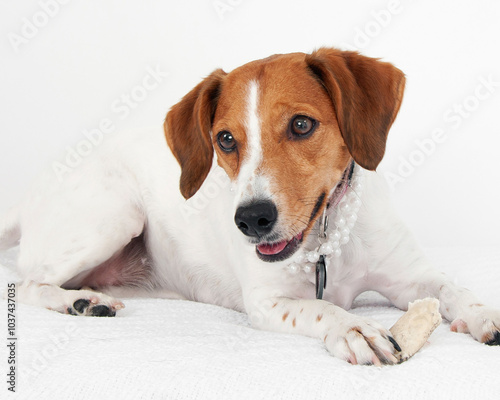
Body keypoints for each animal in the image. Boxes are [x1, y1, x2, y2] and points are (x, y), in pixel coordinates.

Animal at [0, 47, 498, 366]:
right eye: (225, 139)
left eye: (301, 125)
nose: (251, 220)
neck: (327, 242)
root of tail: (29, 195)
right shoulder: (266, 302)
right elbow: (322, 309)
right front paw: (353, 328)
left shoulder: (412, 276)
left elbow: (454, 289)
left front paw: (483, 314)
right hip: (116, 214)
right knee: (26, 284)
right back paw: (79, 301)